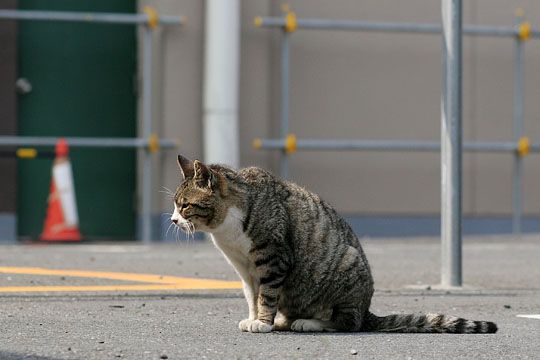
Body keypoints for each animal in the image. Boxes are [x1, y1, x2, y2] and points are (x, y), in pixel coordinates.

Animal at [171, 155, 496, 334]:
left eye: (185, 205)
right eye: (175, 204)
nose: (173, 220)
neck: (227, 230)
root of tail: (367, 309)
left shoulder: (274, 258)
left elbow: (267, 294)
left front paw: (262, 322)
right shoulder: (244, 267)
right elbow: (253, 295)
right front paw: (256, 319)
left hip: (348, 265)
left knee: (346, 322)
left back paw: (307, 323)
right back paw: (286, 320)